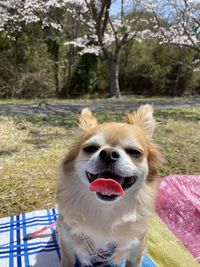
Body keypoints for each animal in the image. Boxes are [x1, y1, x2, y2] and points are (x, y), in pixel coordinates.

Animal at [55, 105, 162, 267]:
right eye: (90, 148)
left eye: (135, 152)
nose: (109, 153)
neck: (105, 210)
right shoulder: (66, 244)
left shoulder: (137, 250)